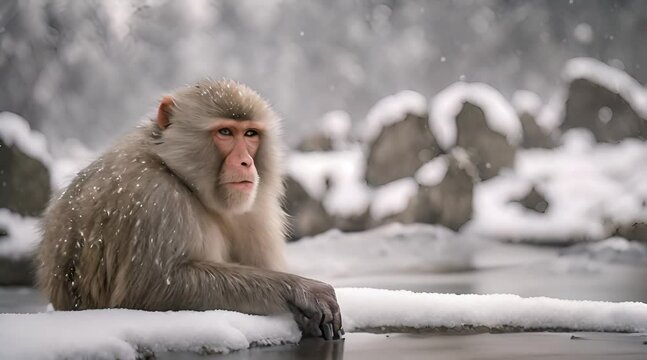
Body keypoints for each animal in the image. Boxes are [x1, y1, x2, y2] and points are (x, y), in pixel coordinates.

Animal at [36, 79, 344, 340]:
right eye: (225, 132)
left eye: (250, 134)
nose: (246, 162)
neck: (178, 174)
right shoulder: (155, 199)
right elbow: (151, 288)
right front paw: (301, 290)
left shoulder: (253, 207)